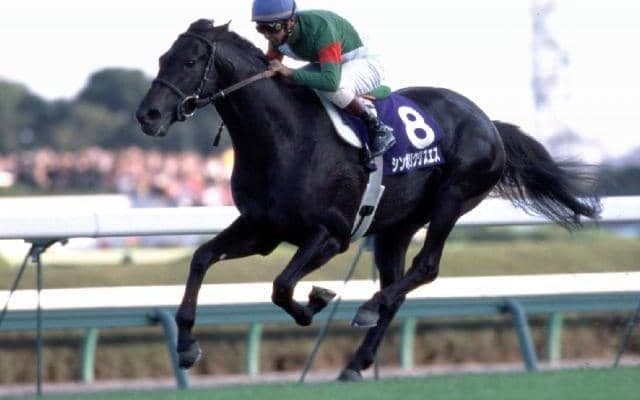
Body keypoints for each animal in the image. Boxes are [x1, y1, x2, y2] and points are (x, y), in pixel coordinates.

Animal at [136, 20, 600, 380]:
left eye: (190, 62)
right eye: (162, 58)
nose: (148, 115)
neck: (284, 139)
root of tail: (488, 122)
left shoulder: (331, 234)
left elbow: (282, 286)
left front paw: (315, 303)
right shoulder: (262, 230)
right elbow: (201, 258)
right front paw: (186, 346)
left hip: (454, 196)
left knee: (424, 268)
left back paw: (368, 308)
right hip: (396, 227)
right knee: (398, 285)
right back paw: (356, 362)